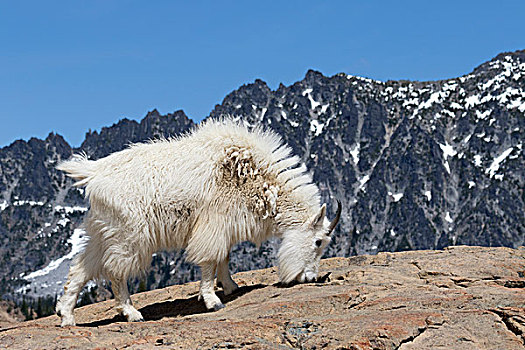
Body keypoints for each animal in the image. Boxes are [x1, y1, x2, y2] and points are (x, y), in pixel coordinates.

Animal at [56, 119, 340, 326]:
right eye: (318, 241)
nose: (310, 277)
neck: (258, 178)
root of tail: (93, 173)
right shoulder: (214, 223)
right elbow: (210, 259)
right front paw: (213, 300)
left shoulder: (225, 226)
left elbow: (224, 257)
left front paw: (230, 287)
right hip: (129, 234)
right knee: (115, 270)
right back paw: (131, 313)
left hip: (103, 230)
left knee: (81, 267)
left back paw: (66, 316)